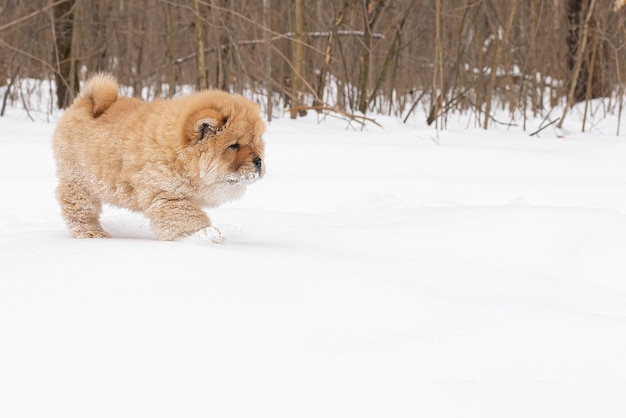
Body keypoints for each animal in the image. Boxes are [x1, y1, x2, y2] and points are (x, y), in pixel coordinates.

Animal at [52, 73, 264, 240]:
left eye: (256, 143)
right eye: (234, 146)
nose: (259, 161)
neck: (178, 155)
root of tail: (84, 101)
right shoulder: (167, 197)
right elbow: (191, 220)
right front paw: (207, 237)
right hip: (80, 181)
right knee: (78, 209)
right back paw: (93, 233)